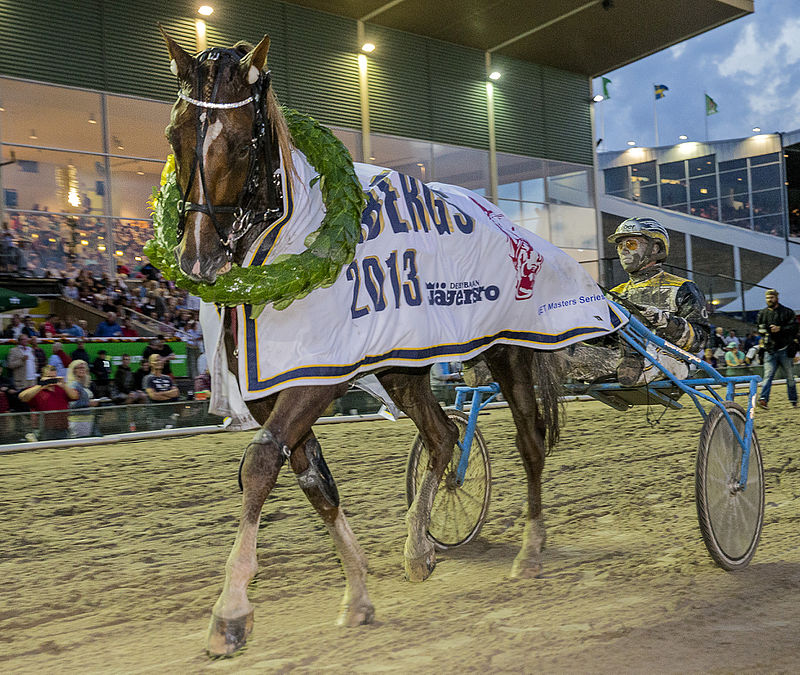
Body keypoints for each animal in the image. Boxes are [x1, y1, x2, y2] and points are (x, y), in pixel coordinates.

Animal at [156, 29, 616, 656]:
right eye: (175, 134)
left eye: (237, 139)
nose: (196, 260)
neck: (284, 243)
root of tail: (512, 225)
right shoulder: (274, 390)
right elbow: (315, 482)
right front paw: (357, 593)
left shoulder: (315, 379)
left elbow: (259, 463)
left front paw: (230, 611)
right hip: (404, 368)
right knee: (444, 436)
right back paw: (420, 547)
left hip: (510, 351)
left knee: (529, 443)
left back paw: (530, 549)